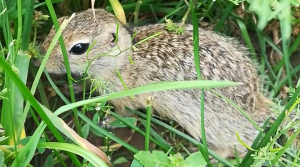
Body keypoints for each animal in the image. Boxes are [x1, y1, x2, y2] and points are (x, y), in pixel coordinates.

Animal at [36, 8, 270, 159]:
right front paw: (75, 87)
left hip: (209, 126)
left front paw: (107, 121)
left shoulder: (125, 97)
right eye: (61, 21)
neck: (124, 58)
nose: (42, 61)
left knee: (231, 147)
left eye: (78, 48)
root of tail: (256, 106)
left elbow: (123, 114)